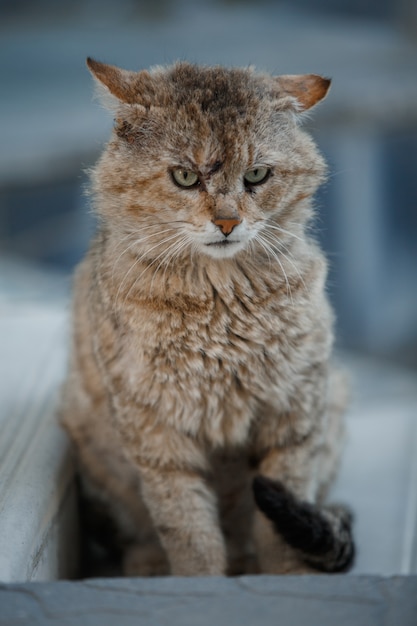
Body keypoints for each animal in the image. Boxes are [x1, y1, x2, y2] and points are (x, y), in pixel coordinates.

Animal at [60, 58, 352, 576]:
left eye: (257, 174)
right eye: (184, 176)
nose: (228, 222)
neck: (220, 301)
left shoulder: (295, 413)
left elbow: (280, 527)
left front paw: (289, 577)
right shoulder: (157, 430)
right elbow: (189, 530)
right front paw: (200, 582)